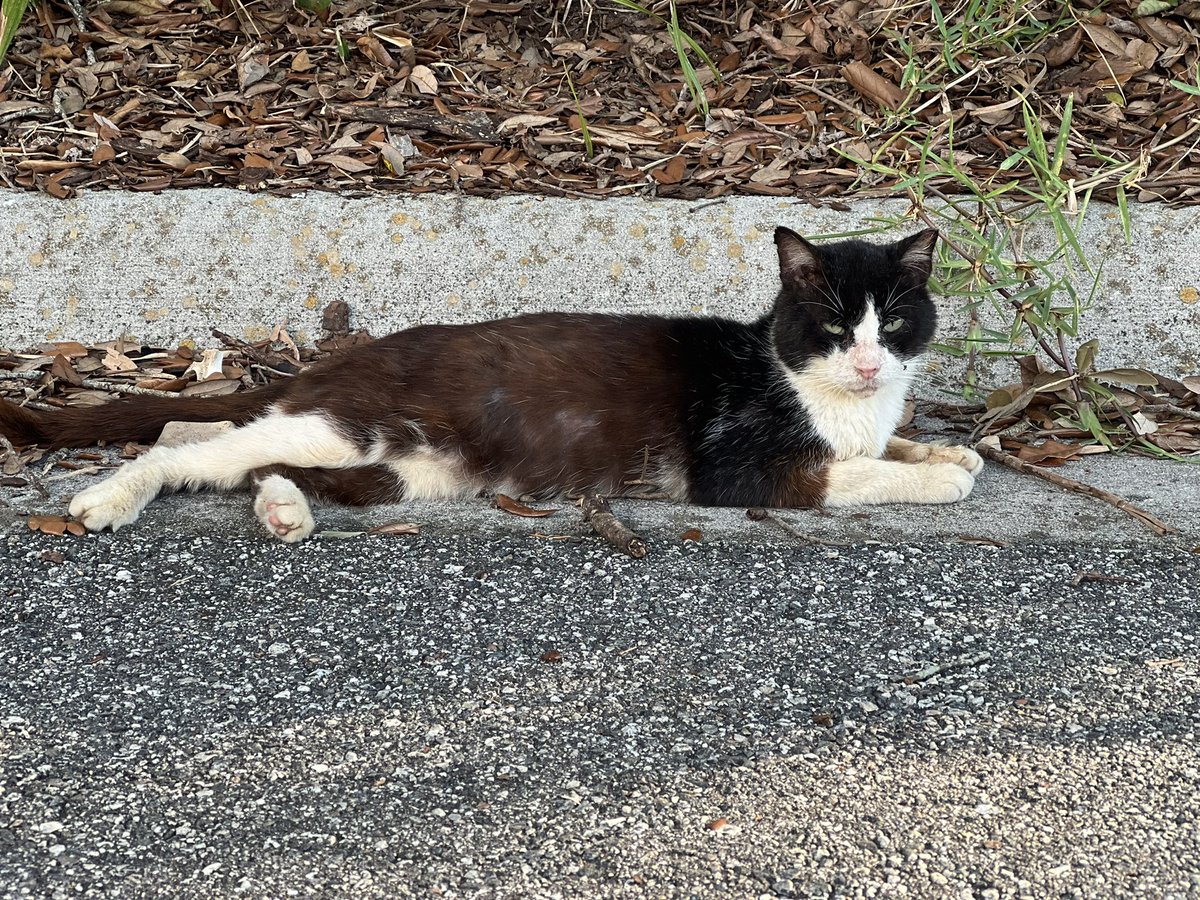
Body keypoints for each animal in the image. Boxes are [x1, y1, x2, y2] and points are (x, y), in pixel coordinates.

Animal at [0, 230, 984, 542]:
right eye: (833, 329)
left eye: (896, 325)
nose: (869, 361)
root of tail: (337, 360)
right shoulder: (742, 468)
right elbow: (857, 472)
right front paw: (943, 477)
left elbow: (887, 444)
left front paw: (946, 448)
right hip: (349, 422)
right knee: (195, 443)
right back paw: (107, 499)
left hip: (412, 467)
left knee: (270, 465)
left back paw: (285, 510)